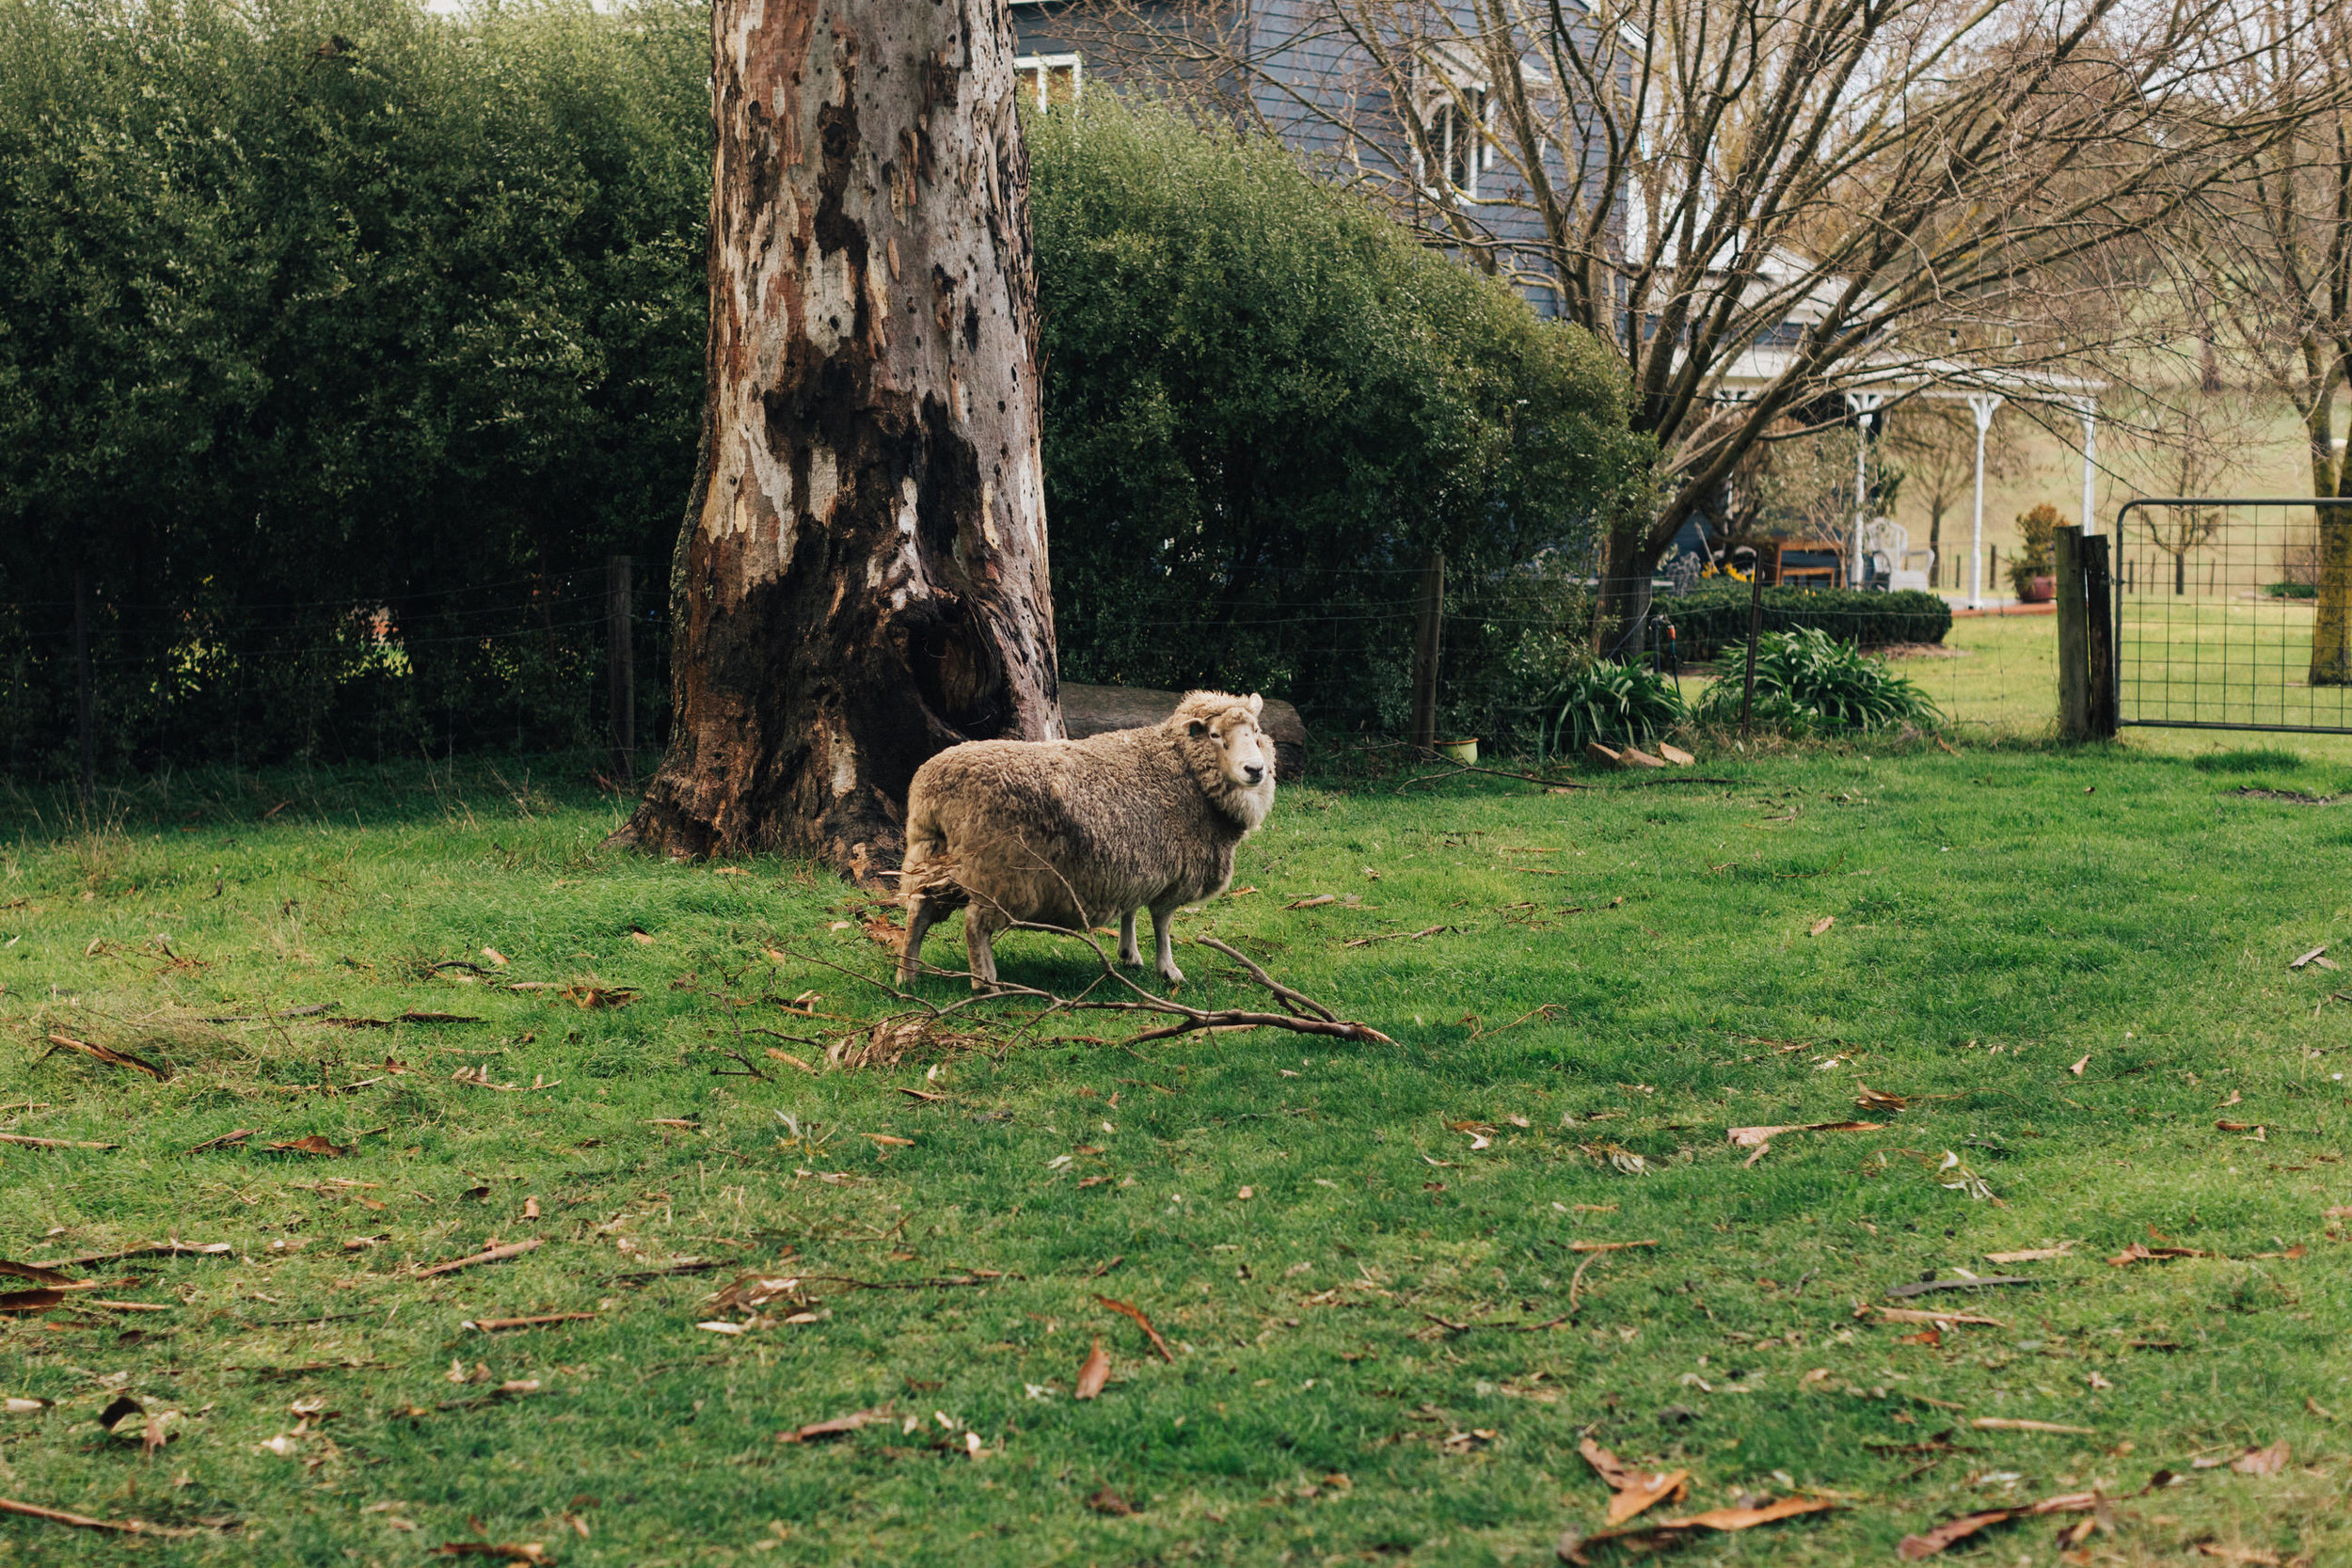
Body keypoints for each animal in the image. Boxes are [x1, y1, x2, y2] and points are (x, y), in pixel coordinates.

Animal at [894, 690, 1279, 991]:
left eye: (1256, 732)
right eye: (1214, 734)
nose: (1255, 770)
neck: (1181, 765)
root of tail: (934, 789)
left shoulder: (1136, 861)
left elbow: (1131, 910)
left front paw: (1129, 955)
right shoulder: (1175, 872)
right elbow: (1162, 924)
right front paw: (1169, 970)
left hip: (931, 854)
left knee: (918, 910)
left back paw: (907, 975)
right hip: (999, 872)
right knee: (974, 924)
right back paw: (985, 983)